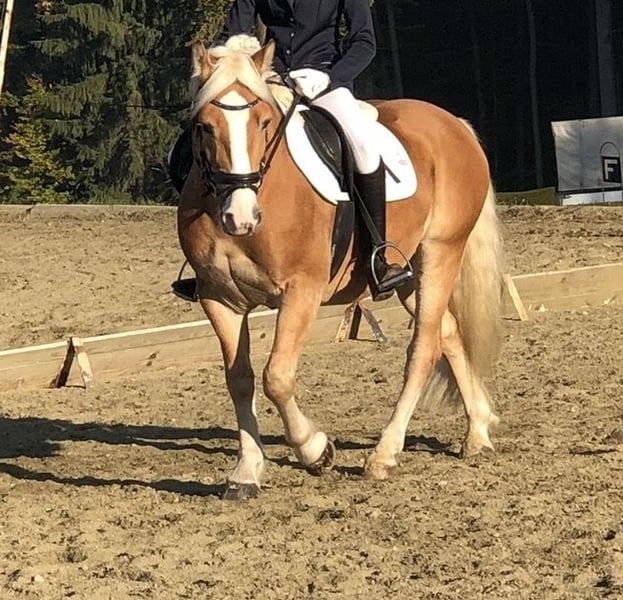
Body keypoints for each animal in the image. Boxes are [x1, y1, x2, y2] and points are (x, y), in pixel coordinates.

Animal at [177, 35, 504, 500]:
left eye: (263, 122)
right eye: (204, 126)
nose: (240, 218)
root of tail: (454, 124)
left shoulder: (302, 291)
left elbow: (277, 376)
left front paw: (316, 451)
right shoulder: (219, 299)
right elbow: (239, 378)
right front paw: (246, 471)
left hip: (443, 251)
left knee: (423, 348)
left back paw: (385, 454)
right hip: (410, 273)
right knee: (449, 334)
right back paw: (477, 433)